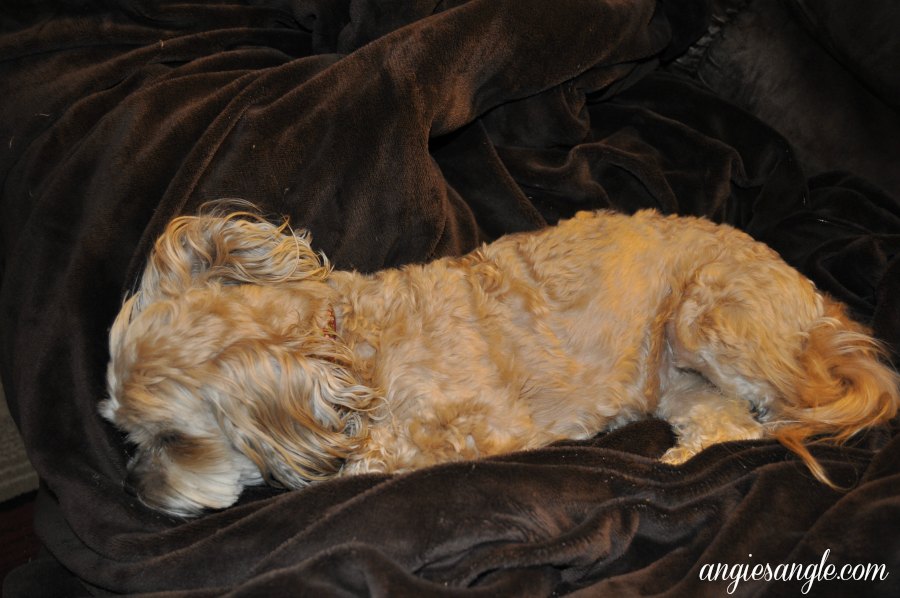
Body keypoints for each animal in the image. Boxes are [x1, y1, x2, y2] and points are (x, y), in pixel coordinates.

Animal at [100, 205, 900, 516]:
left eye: (173, 440)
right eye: (124, 434)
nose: (134, 490)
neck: (347, 351)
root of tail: (813, 296)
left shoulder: (475, 429)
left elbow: (385, 459)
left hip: (711, 320)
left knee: (778, 411)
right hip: (677, 378)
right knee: (731, 425)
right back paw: (678, 462)